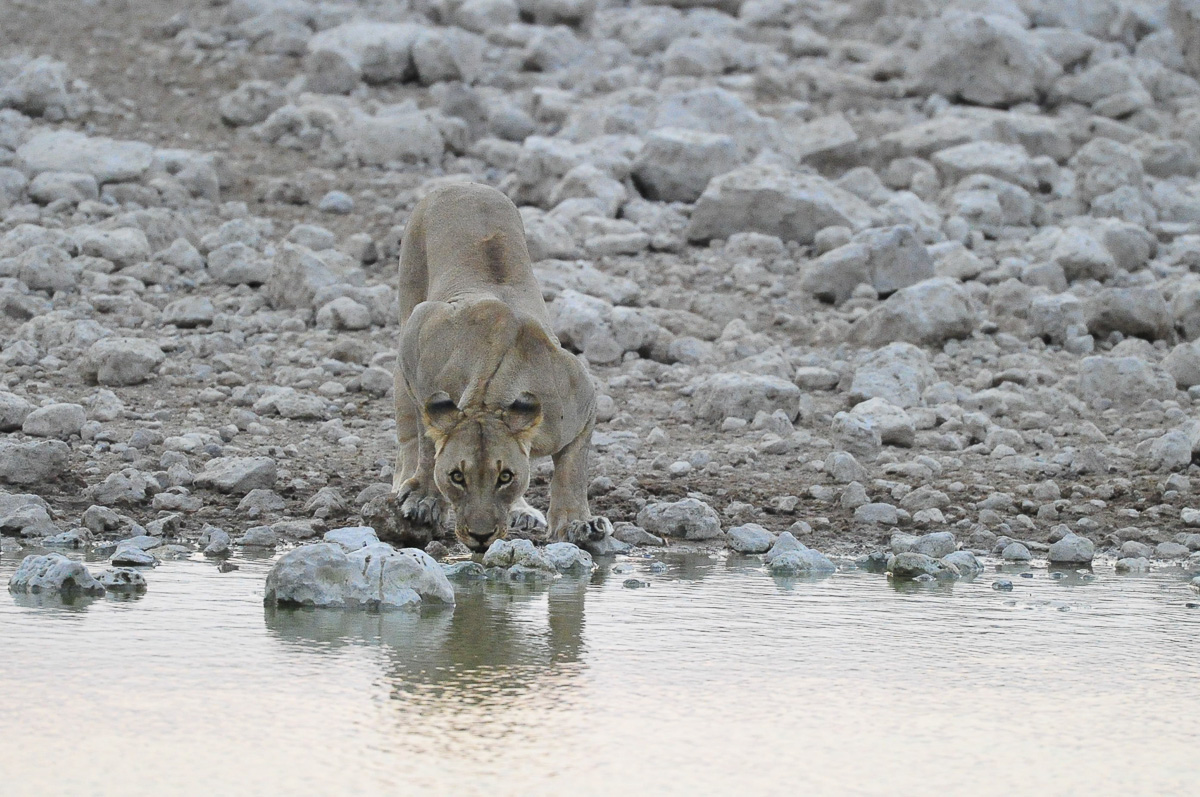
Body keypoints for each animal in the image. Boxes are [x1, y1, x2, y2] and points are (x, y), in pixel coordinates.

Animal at [391, 182, 612, 553]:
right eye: (457, 477)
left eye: (505, 477)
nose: (481, 537)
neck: (489, 395)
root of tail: (462, 183)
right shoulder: (418, 337)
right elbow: (425, 440)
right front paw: (424, 499)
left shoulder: (582, 401)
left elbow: (573, 471)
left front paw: (578, 523)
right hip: (408, 300)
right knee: (407, 428)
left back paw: (523, 511)